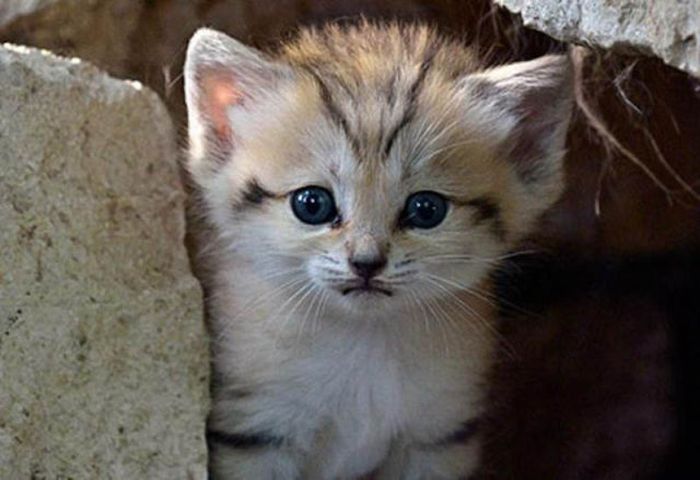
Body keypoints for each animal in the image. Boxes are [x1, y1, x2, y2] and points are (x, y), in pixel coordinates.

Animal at [183, 20, 572, 478]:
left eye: (426, 209)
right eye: (312, 204)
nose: (366, 262)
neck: (364, 339)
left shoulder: (439, 434)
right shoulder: (256, 429)